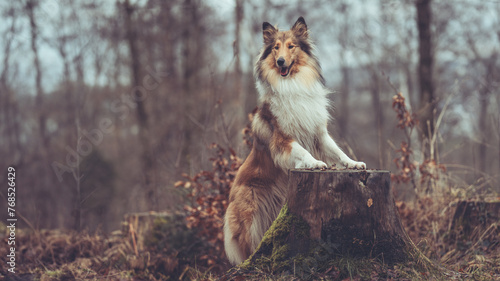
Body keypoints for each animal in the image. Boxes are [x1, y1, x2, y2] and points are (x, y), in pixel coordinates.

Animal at [225, 16, 366, 264]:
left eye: (291, 46)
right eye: (275, 48)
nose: (281, 61)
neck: (292, 83)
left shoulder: (319, 133)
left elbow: (338, 152)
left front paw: (353, 164)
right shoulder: (282, 138)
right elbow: (301, 151)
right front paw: (315, 163)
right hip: (250, 221)